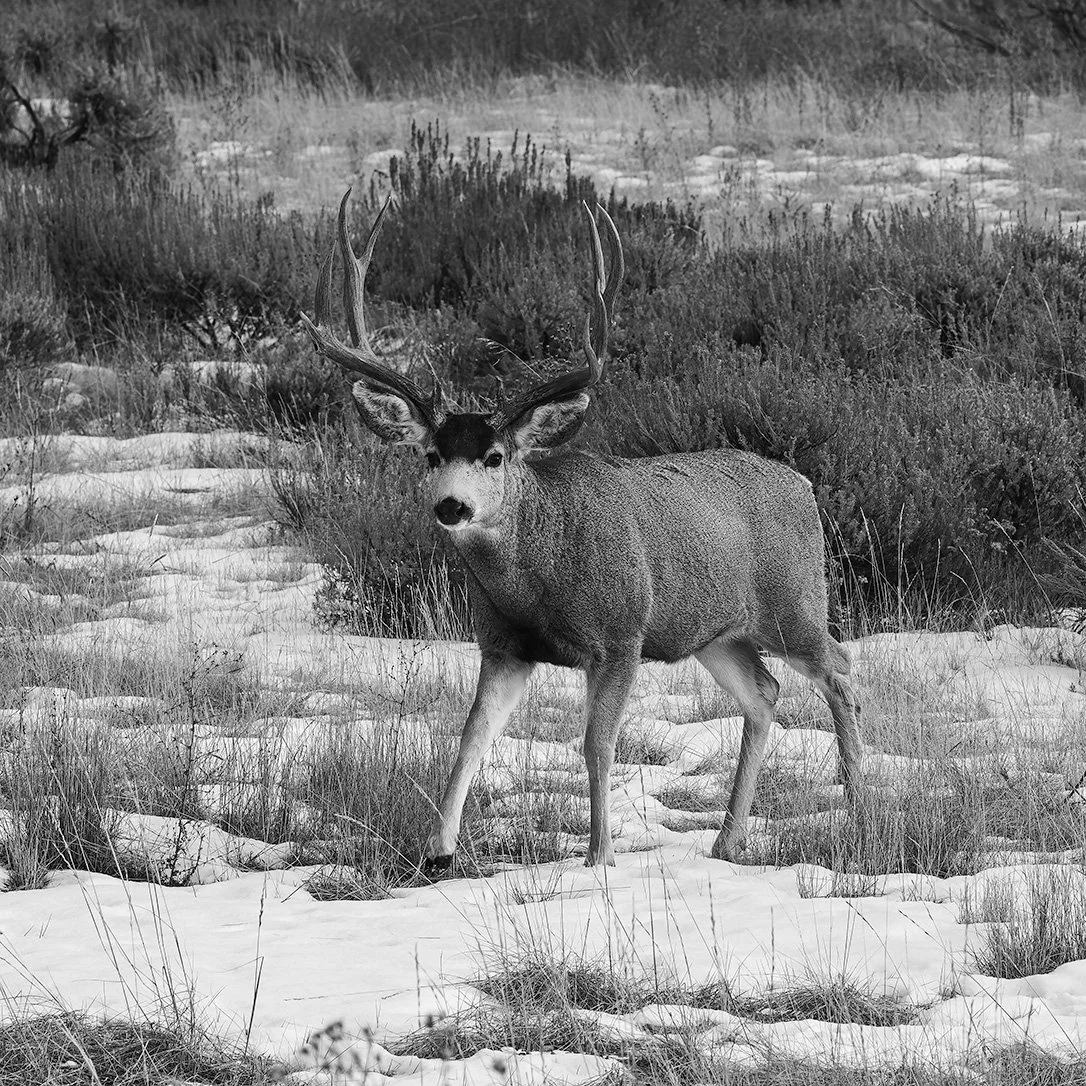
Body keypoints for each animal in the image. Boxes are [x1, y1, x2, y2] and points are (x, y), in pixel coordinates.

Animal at [300, 190, 862, 869]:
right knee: (765, 692)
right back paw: (727, 841)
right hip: (715, 633)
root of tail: (803, 484)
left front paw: (599, 856)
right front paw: (439, 849)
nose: (451, 507)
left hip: (795, 604)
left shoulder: (620, 636)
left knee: (840, 671)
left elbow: (596, 743)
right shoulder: (504, 646)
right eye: (431, 455)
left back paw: (861, 812)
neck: (537, 585)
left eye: (496, 457)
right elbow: (470, 737)